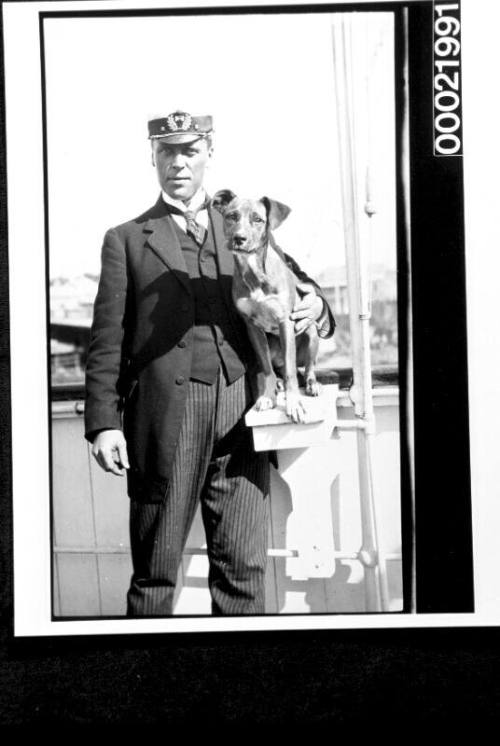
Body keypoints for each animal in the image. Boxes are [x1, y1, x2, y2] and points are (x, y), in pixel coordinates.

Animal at [211, 189, 320, 422]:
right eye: (231, 216)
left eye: (258, 219)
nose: (239, 238)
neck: (254, 271)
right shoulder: (252, 327)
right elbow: (266, 368)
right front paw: (268, 397)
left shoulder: (285, 321)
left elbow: (290, 371)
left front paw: (294, 403)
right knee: (277, 369)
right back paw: (278, 385)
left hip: (311, 334)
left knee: (307, 368)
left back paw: (311, 384)